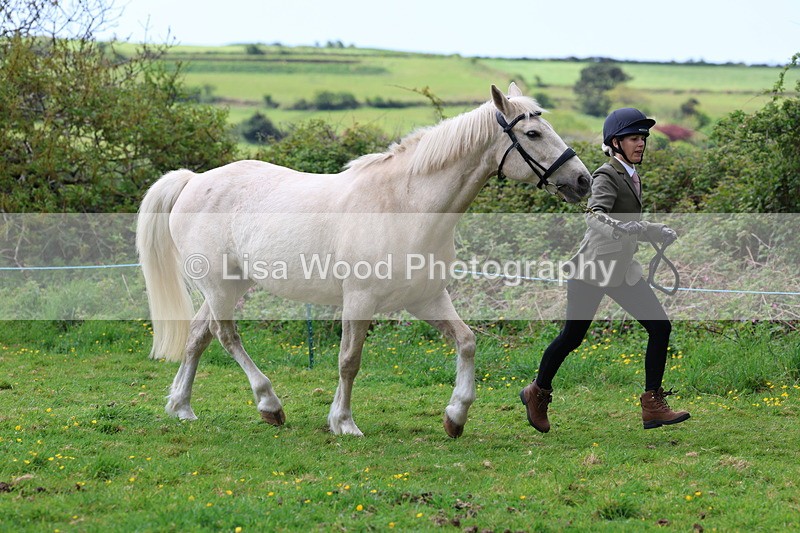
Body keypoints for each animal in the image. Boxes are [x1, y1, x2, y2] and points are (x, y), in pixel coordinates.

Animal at [136, 83, 591, 438]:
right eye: (533, 132)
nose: (582, 180)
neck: (405, 205)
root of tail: (194, 180)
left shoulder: (425, 298)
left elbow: (466, 341)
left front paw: (455, 416)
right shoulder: (359, 300)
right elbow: (349, 361)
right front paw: (344, 422)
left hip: (231, 285)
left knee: (198, 336)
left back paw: (182, 407)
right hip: (218, 285)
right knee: (226, 335)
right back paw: (269, 404)